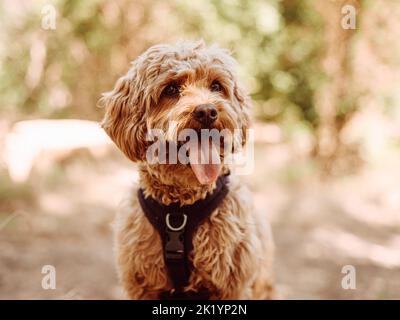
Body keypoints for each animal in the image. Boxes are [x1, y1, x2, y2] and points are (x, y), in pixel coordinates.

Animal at [100, 40, 276, 300]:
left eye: (216, 86)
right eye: (171, 89)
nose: (207, 111)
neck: (179, 208)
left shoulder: (232, 286)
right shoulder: (142, 285)